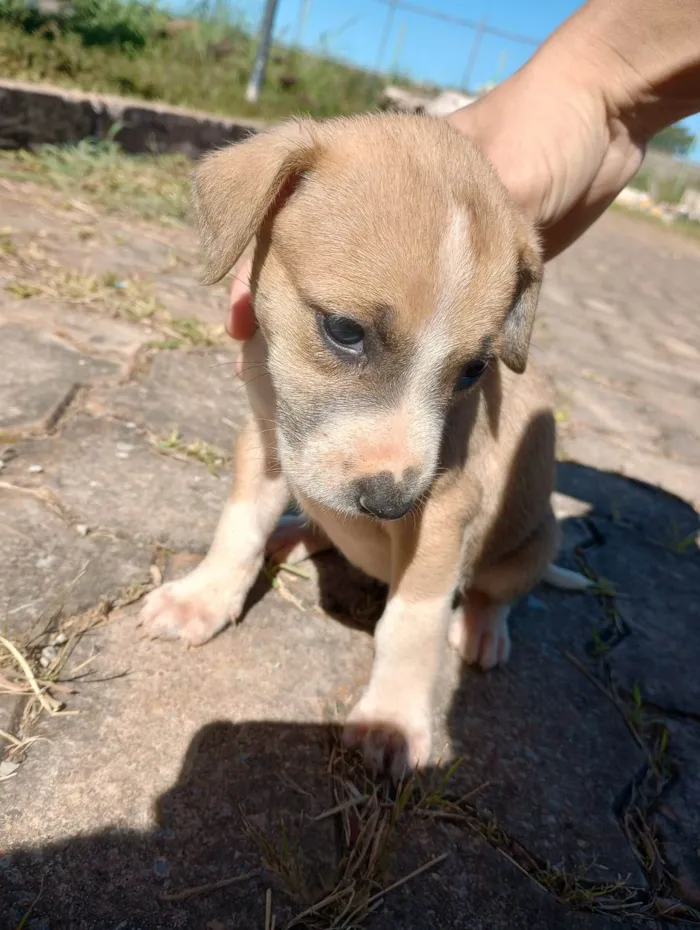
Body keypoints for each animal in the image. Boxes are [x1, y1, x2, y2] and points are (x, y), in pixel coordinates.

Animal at [139, 110, 588, 776]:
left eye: (473, 371)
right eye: (344, 330)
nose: (389, 506)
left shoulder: (443, 514)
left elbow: (412, 623)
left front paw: (393, 719)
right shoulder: (266, 441)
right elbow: (237, 529)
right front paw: (204, 597)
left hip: (534, 542)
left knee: (498, 593)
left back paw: (483, 627)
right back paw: (294, 535)